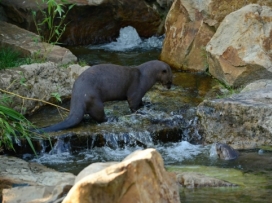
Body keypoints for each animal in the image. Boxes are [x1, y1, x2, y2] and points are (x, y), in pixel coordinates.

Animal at [38, 59, 172, 133]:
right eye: (170, 79)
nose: (170, 86)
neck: (144, 76)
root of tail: (78, 96)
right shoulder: (136, 91)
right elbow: (133, 105)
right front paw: (141, 112)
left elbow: (141, 102)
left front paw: (147, 105)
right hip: (95, 100)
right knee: (100, 117)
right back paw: (112, 118)